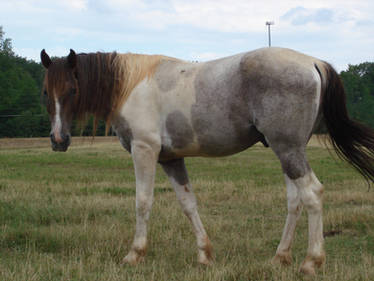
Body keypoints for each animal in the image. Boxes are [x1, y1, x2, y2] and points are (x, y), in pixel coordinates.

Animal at [40, 46, 374, 274]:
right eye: (45, 91)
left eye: (72, 89)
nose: (58, 140)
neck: (132, 85)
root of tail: (313, 62)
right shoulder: (171, 159)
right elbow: (188, 204)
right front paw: (204, 255)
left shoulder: (144, 150)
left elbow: (143, 202)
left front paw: (134, 254)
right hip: (288, 151)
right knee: (295, 201)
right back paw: (280, 257)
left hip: (288, 149)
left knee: (313, 194)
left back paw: (311, 262)